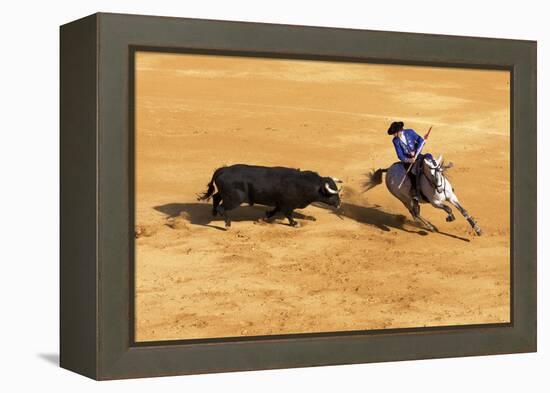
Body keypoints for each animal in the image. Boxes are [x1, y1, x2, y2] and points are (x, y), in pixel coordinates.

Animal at [198, 164, 342, 227]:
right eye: (331, 194)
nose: (339, 204)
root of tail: (223, 169)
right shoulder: (287, 205)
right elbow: (288, 214)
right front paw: (295, 223)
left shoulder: (280, 203)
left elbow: (275, 211)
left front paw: (264, 217)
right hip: (234, 199)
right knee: (222, 207)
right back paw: (227, 224)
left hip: (225, 194)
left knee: (216, 197)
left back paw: (214, 213)